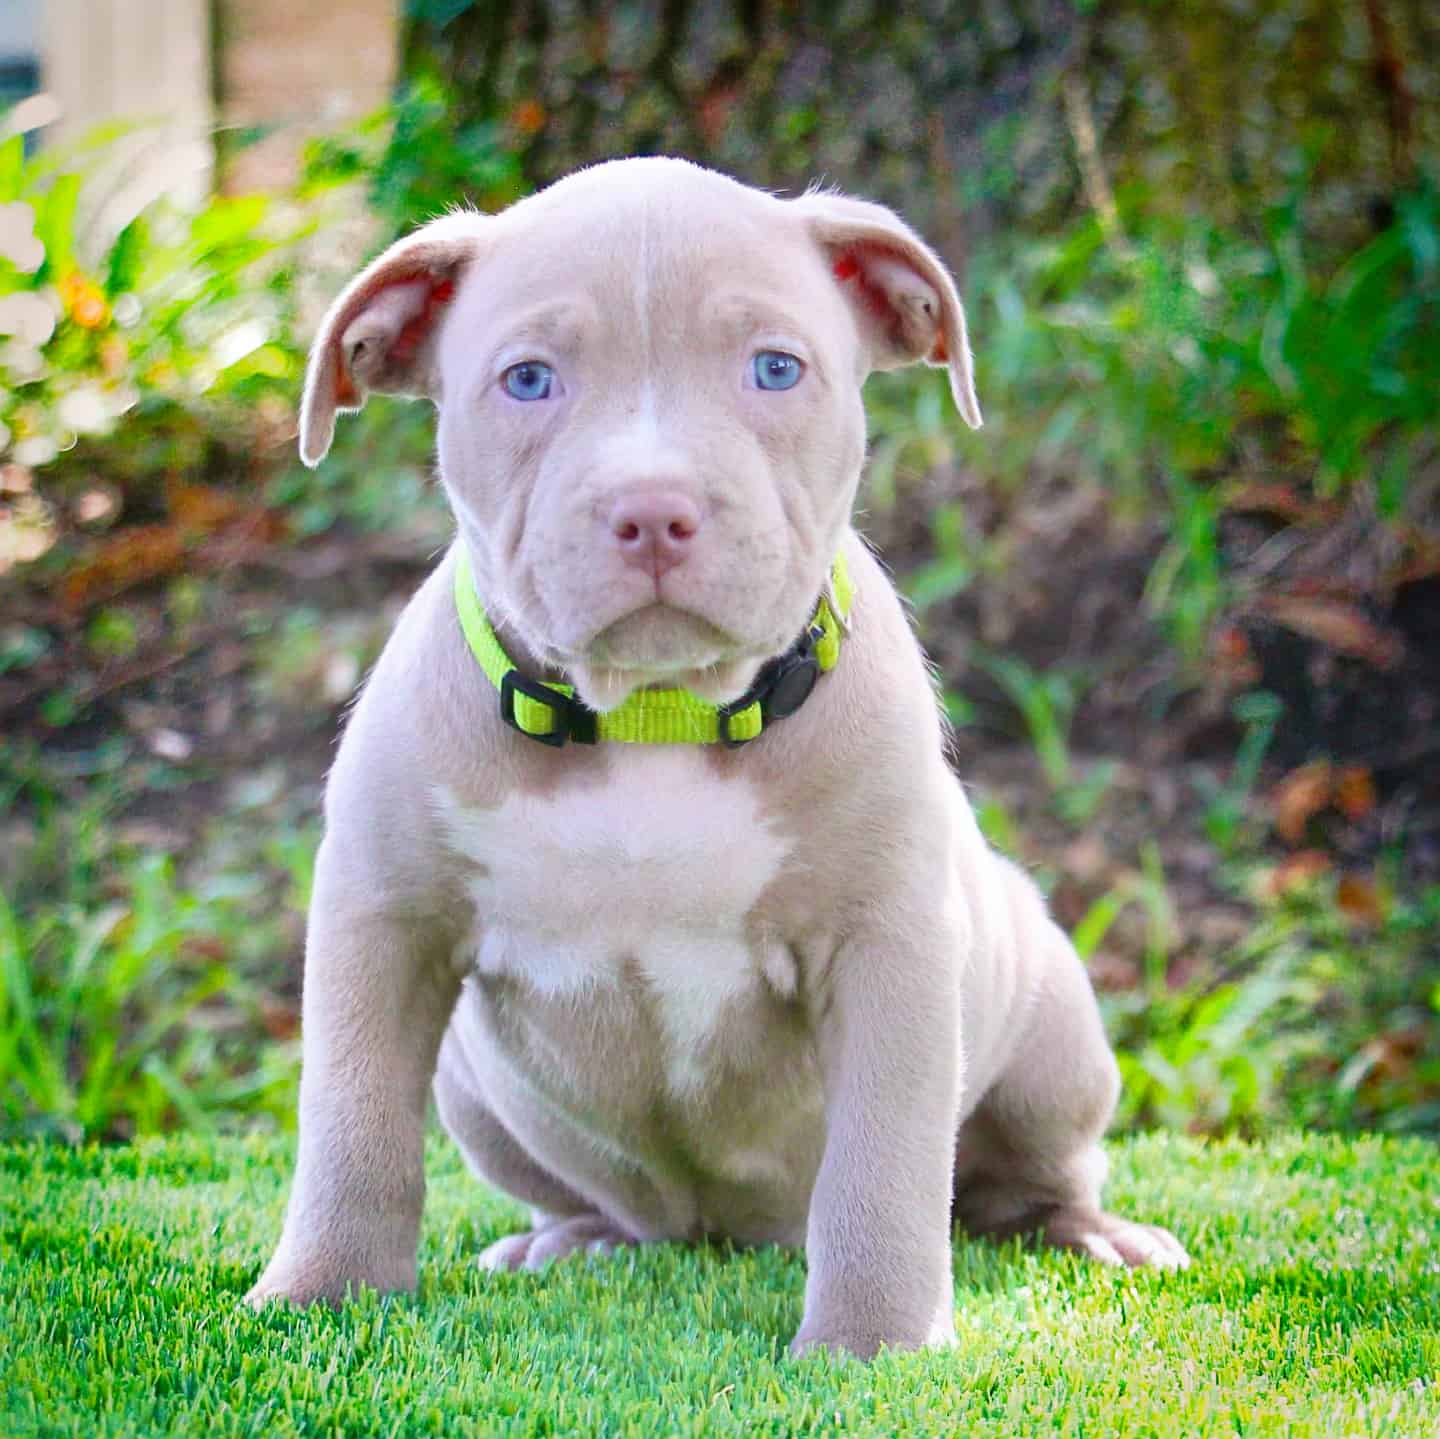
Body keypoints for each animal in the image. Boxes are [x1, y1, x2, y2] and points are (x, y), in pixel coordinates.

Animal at [247, 160, 1186, 1359]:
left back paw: (1090, 1233)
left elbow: (884, 1162)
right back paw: (575, 1240)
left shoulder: (889, 945)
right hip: (475, 1088)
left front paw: (872, 1345)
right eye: (529, 379)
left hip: (1056, 1027)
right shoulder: (382, 919)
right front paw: (317, 1294)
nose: (654, 508)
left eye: (776, 368)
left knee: (1024, 1175)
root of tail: (724, 1231)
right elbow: (351, 1124)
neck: (656, 717)